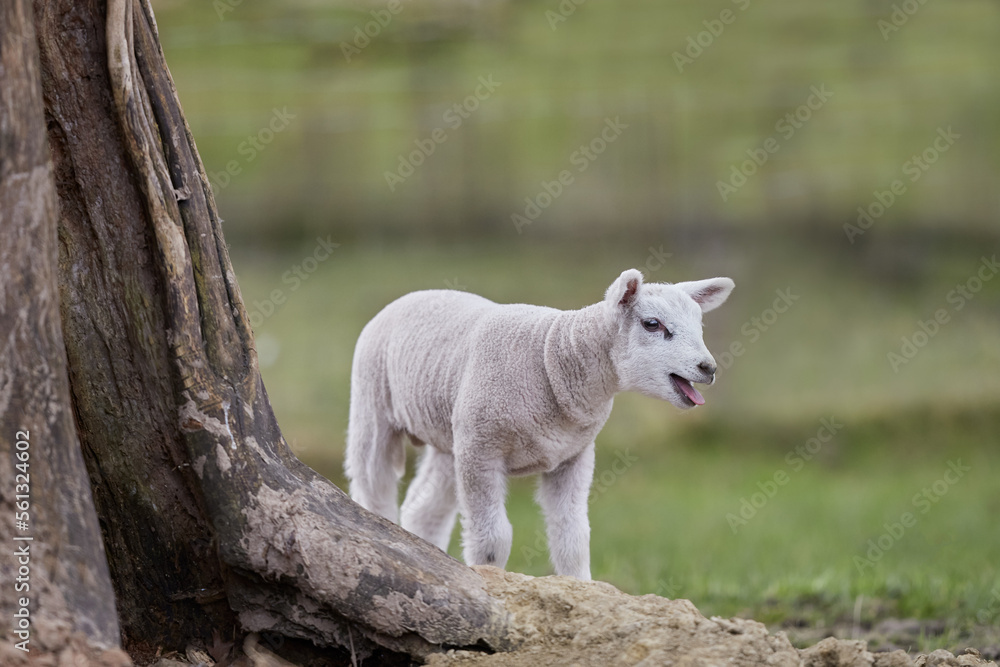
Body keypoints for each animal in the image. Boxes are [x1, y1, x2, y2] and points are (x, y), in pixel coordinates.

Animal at [344, 268, 734, 580]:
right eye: (652, 324)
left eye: (699, 325)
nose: (708, 368)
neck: (554, 358)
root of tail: (420, 293)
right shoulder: (482, 451)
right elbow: (493, 537)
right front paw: (490, 581)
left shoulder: (572, 456)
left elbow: (572, 538)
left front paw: (580, 589)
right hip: (373, 404)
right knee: (373, 488)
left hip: (452, 433)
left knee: (424, 509)